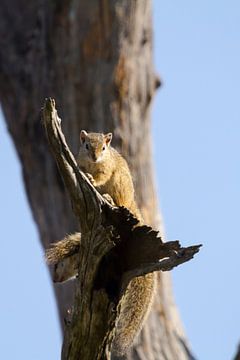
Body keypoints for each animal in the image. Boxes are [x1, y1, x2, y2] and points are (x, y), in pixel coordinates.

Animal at [46, 131, 156, 356]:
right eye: (86, 146)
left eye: (104, 148)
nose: (54, 280)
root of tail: (132, 205)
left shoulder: (108, 168)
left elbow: (101, 176)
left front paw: (92, 180)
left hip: (121, 187)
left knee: (117, 199)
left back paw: (109, 199)